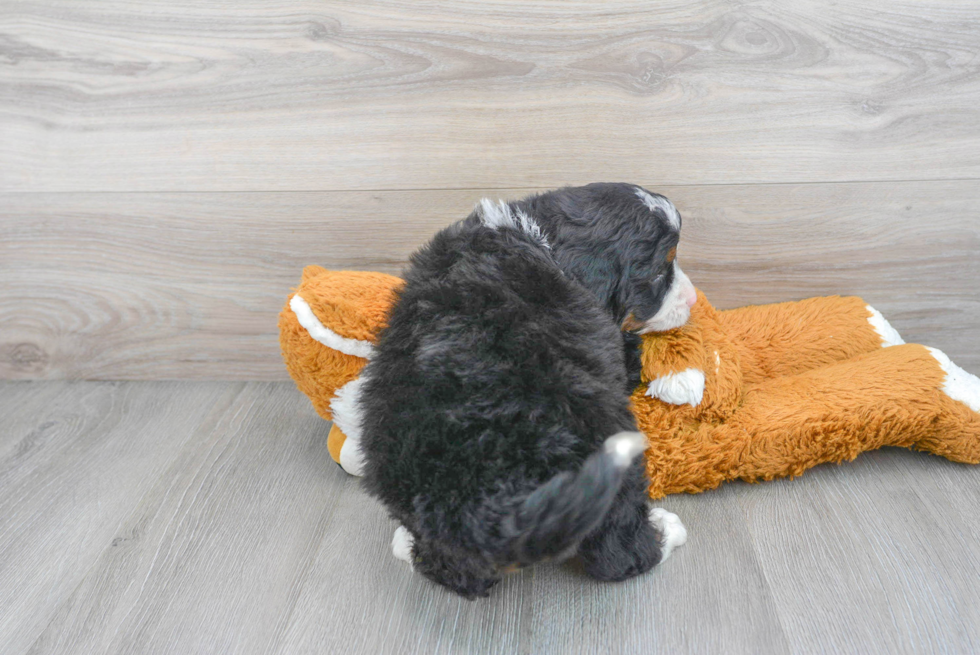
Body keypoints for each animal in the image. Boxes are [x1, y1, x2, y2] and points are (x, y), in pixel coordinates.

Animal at [356, 182, 692, 596]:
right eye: (660, 270)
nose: (694, 299)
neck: (544, 238)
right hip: (604, 444)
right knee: (618, 550)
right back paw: (662, 534)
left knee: (452, 571)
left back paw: (409, 545)